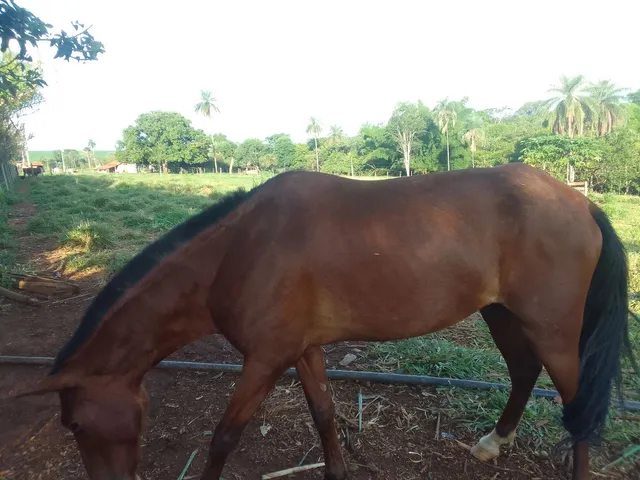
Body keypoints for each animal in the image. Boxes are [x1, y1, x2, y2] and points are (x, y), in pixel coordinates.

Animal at [14, 163, 635, 480]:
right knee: (524, 372)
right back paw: (492, 443)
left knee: (577, 403)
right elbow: (325, 416)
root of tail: (581, 202)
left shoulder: (264, 359)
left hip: (553, 329)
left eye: (74, 424)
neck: (237, 252)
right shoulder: (302, 350)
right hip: (501, 313)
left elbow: (223, 438)